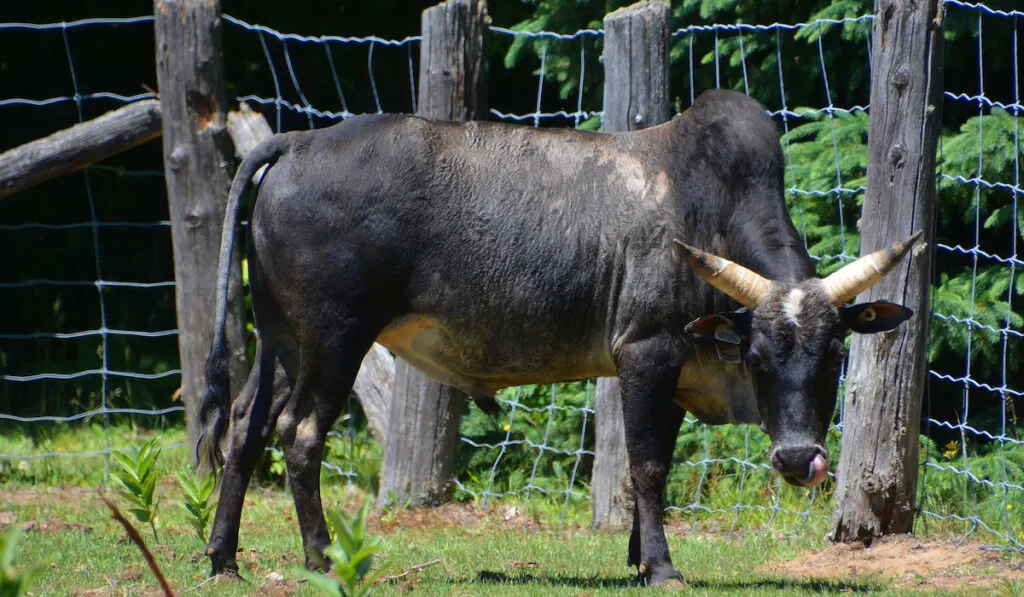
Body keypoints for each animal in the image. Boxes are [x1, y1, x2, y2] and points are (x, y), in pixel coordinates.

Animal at [195, 88, 917, 585]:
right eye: (758, 357)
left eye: (834, 355)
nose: (798, 459)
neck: (711, 206)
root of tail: (299, 142)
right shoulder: (646, 351)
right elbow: (646, 466)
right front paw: (661, 567)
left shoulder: (677, 369)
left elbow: (652, 462)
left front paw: (637, 559)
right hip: (335, 338)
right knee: (300, 432)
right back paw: (322, 558)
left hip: (283, 340)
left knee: (245, 426)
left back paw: (223, 557)